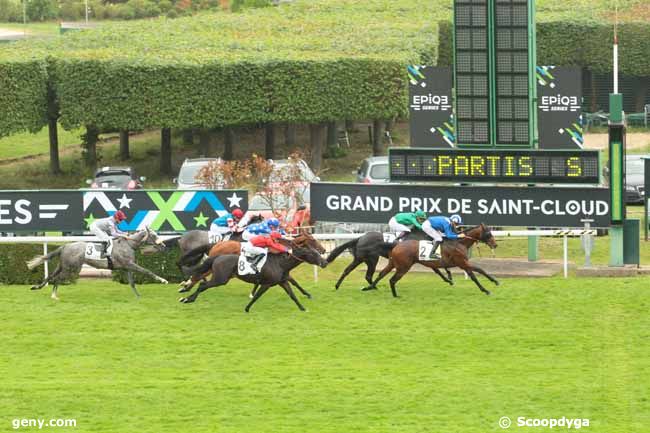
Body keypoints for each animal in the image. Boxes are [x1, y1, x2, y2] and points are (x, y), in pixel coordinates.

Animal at [26, 226, 168, 300]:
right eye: (154, 236)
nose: (164, 246)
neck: (129, 245)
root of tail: (65, 246)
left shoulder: (126, 267)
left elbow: (132, 283)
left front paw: (138, 296)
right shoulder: (129, 264)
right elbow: (147, 271)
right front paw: (163, 280)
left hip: (62, 265)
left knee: (50, 276)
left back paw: (36, 287)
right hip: (71, 268)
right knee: (57, 279)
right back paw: (54, 295)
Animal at [177, 230, 326, 300]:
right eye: (313, 240)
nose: (324, 250)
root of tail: (216, 244)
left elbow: (293, 282)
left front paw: (307, 294)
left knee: (199, 274)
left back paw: (186, 287)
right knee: (199, 275)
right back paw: (185, 287)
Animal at [177, 246, 326, 310]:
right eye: (314, 254)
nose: (324, 262)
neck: (281, 263)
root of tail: (218, 257)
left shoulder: (283, 282)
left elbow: (293, 295)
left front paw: (303, 308)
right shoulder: (267, 284)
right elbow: (257, 296)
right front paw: (247, 308)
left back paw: (186, 296)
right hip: (220, 279)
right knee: (203, 285)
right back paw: (187, 299)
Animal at [364, 223, 496, 296]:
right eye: (489, 234)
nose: (495, 245)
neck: (459, 243)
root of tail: (397, 244)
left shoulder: (463, 263)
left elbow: (475, 274)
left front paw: (488, 287)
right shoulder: (461, 262)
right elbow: (478, 271)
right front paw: (492, 284)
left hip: (393, 263)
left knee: (382, 274)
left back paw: (369, 287)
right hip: (403, 267)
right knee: (392, 280)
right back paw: (395, 295)